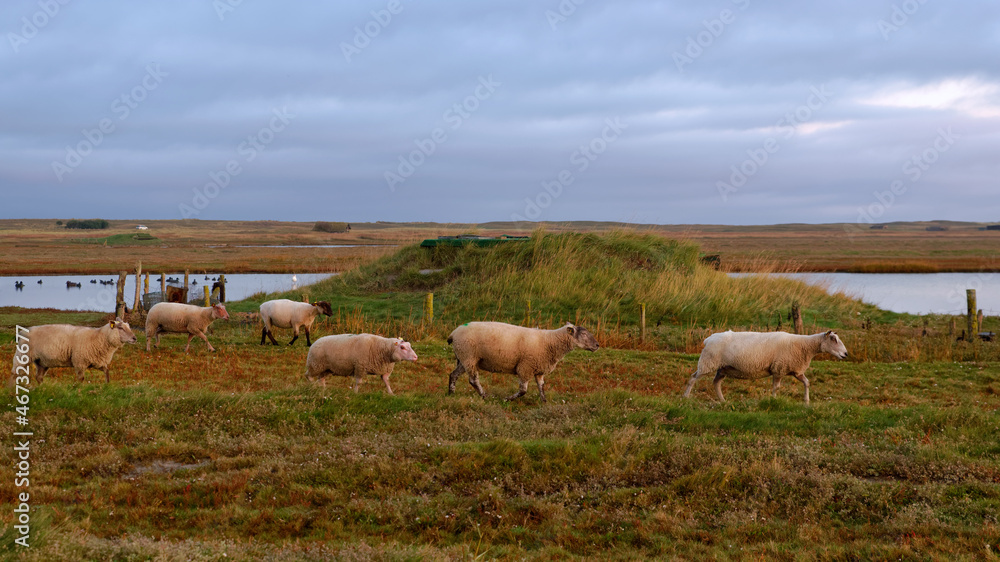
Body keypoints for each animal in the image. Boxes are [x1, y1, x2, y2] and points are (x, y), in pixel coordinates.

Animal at [447, 321, 600, 403]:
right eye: (584, 334)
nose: (597, 345)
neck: (550, 341)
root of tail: (453, 334)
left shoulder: (539, 369)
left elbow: (541, 386)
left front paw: (544, 401)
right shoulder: (525, 367)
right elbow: (523, 391)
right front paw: (507, 399)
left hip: (464, 358)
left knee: (453, 375)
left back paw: (451, 393)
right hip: (469, 356)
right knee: (473, 380)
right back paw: (484, 396)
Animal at [682, 330, 849, 404]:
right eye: (833, 339)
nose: (846, 354)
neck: (805, 347)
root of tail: (708, 338)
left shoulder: (795, 370)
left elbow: (807, 382)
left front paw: (806, 401)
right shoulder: (779, 368)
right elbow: (777, 387)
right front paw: (774, 400)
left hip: (722, 368)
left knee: (716, 383)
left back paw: (723, 400)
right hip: (707, 363)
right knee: (692, 378)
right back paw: (685, 397)